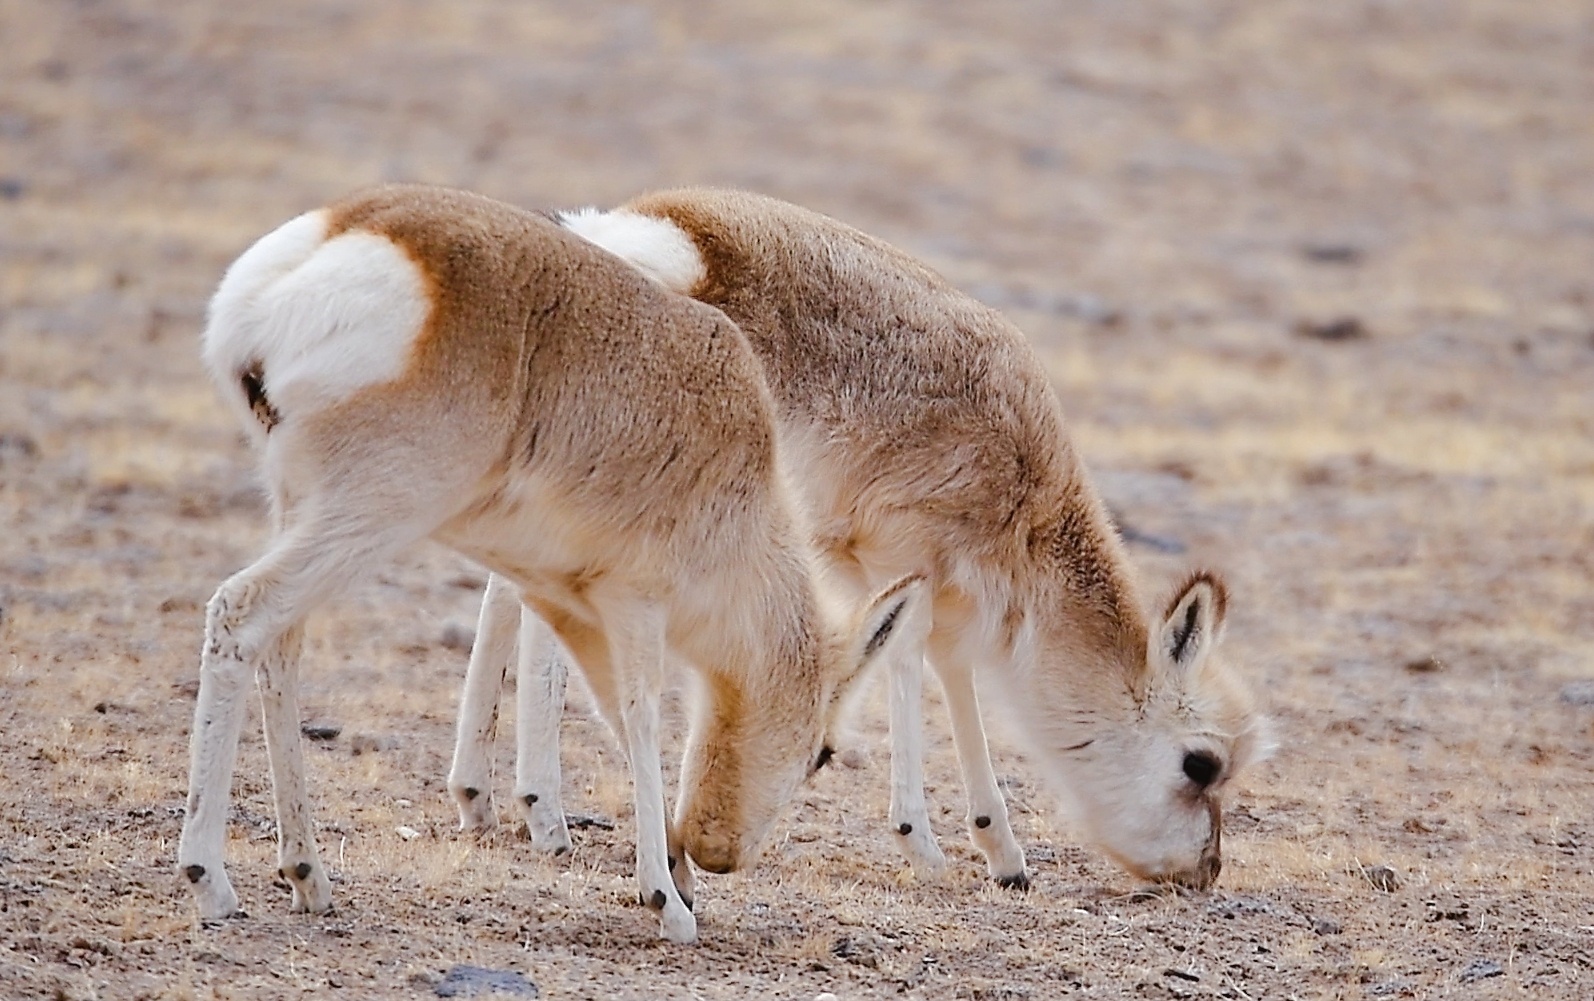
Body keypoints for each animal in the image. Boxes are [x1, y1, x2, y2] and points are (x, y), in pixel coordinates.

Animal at [177, 184, 924, 943]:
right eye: (823, 753)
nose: (722, 853)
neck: (734, 452)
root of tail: (328, 240)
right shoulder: (635, 603)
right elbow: (642, 715)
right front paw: (665, 898)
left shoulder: (568, 604)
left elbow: (612, 714)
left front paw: (676, 876)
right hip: (371, 517)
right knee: (240, 613)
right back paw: (211, 879)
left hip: (304, 511)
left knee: (281, 644)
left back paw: (308, 874)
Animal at [449, 188, 1268, 892]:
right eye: (1201, 764)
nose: (1206, 871)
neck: (1025, 483)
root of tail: (646, 236)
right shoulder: (911, 562)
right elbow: (913, 660)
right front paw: (929, 842)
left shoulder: (880, 572)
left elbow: (943, 667)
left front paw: (1001, 852)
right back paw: (547, 815)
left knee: (510, 583)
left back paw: (481, 796)